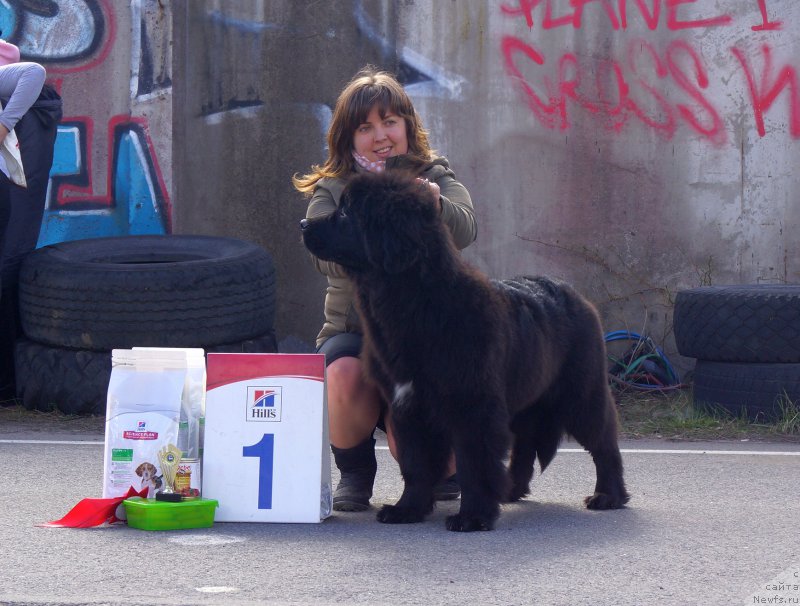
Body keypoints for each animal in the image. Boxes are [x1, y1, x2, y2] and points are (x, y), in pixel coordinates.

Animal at [302, 171, 632, 532]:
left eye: (346, 213)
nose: (303, 223)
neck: (420, 300)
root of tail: (576, 295)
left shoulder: (473, 406)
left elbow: (474, 463)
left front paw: (473, 516)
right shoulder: (407, 405)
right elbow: (415, 464)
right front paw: (407, 509)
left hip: (580, 392)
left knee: (604, 442)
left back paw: (608, 496)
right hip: (526, 398)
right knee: (525, 446)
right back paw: (511, 490)